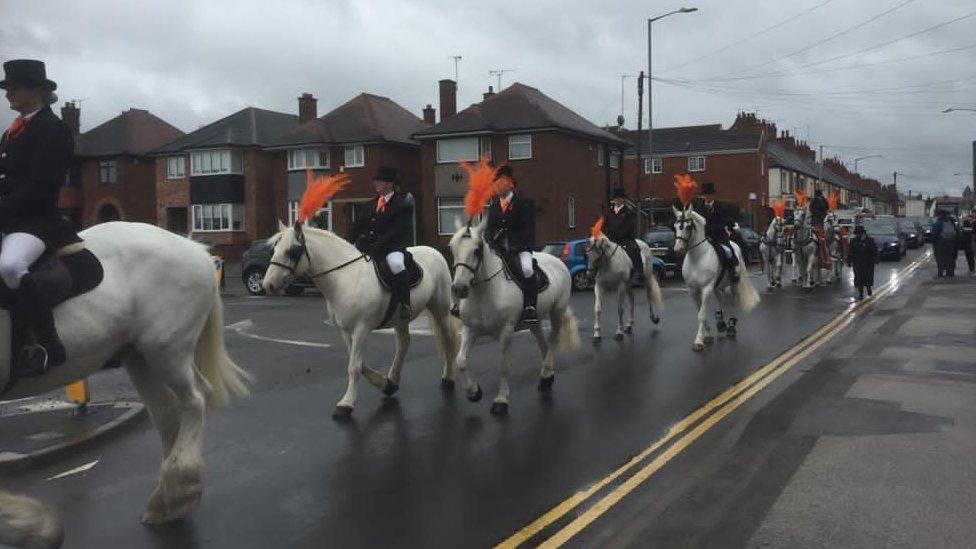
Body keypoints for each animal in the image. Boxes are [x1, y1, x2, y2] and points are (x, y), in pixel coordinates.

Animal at [0, 220, 252, 544]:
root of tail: (194, 248)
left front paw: (35, 526)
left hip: (165, 350)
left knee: (195, 399)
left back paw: (180, 489)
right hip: (140, 358)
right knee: (167, 412)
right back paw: (166, 496)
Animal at [264, 220, 462, 418]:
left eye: (292, 251)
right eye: (274, 250)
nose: (268, 285)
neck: (346, 277)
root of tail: (434, 251)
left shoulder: (362, 328)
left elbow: (354, 366)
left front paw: (346, 403)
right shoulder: (345, 330)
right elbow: (358, 362)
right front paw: (385, 384)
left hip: (440, 310)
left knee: (447, 341)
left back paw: (448, 378)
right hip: (400, 318)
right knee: (404, 343)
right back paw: (393, 379)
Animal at [450, 220, 580, 414]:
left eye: (477, 250)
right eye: (452, 248)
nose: (459, 289)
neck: (483, 292)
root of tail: (557, 261)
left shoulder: (506, 331)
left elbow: (503, 366)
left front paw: (501, 400)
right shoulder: (470, 330)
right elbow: (461, 361)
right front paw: (473, 392)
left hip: (557, 311)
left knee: (553, 341)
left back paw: (546, 373)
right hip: (534, 322)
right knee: (544, 343)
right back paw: (547, 377)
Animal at [672, 206, 764, 352]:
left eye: (688, 226)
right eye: (675, 226)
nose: (678, 249)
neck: (697, 258)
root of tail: (733, 243)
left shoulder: (706, 288)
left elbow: (702, 314)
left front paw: (698, 341)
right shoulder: (693, 291)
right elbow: (700, 312)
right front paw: (708, 335)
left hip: (732, 284)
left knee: (732, 302)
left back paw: (731, 326)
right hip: (717, 286)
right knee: (720, 299)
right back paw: (721, 322)